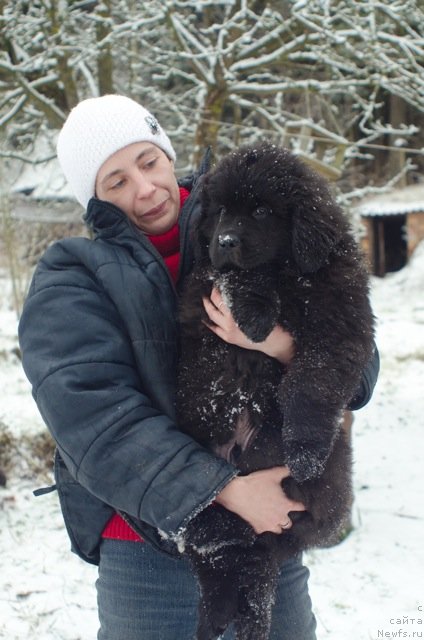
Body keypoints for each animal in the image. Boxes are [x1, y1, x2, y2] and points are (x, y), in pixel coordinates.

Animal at [176, 144, 374, 640]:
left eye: (263, 211)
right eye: (221, 212)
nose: (227, 240)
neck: (289, 272)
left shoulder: (341, 326)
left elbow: (310, 387)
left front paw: (304, 453)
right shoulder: (204, 281)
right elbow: (236, 277)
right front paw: (255, 313)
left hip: (326, 488)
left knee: (251, 569)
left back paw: (241, 621)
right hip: (204, 479)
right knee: (213, 550)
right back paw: (215, 613)